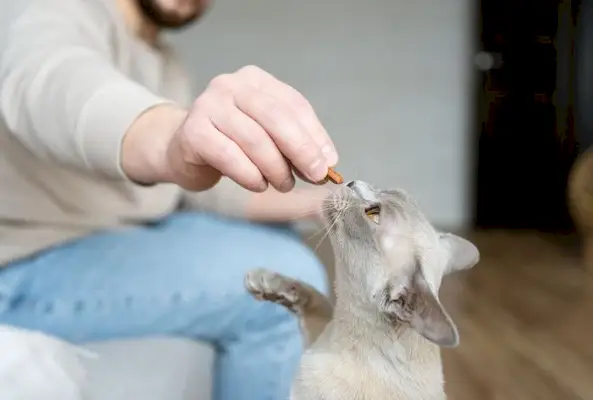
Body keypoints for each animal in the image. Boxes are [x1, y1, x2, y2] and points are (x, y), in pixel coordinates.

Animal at [245, 180, 480, 400]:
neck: (338, 329)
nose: (351, 183)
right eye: (386, 192)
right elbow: (314, 296)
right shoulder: (320, 326)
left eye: (373, 214)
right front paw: (265, 281)